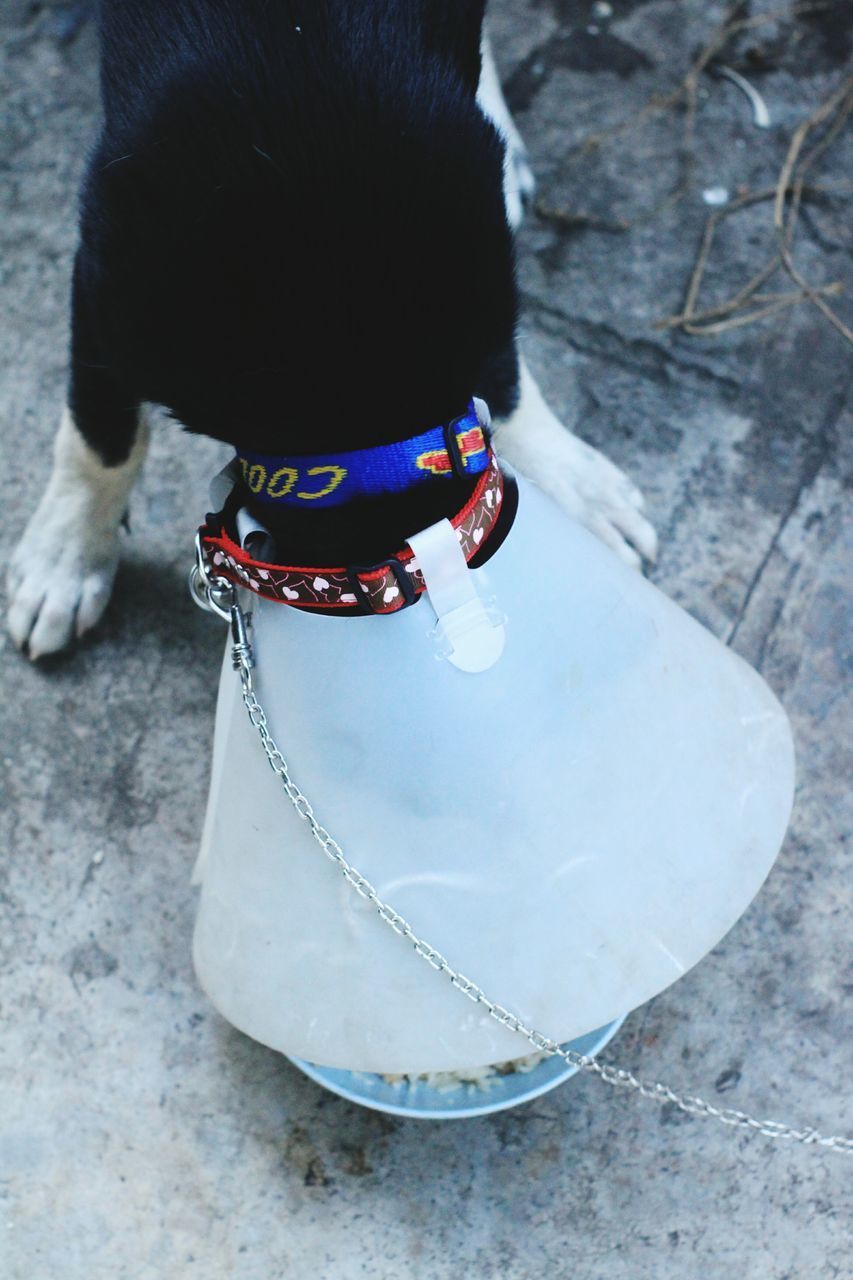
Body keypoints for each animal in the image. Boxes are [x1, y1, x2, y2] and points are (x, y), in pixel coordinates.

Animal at [8, 0, 650, 655]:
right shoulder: (107, 284)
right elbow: (99, 437)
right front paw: (67, 556)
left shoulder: (476, 256)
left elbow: (501, 369)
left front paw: (565, 476)